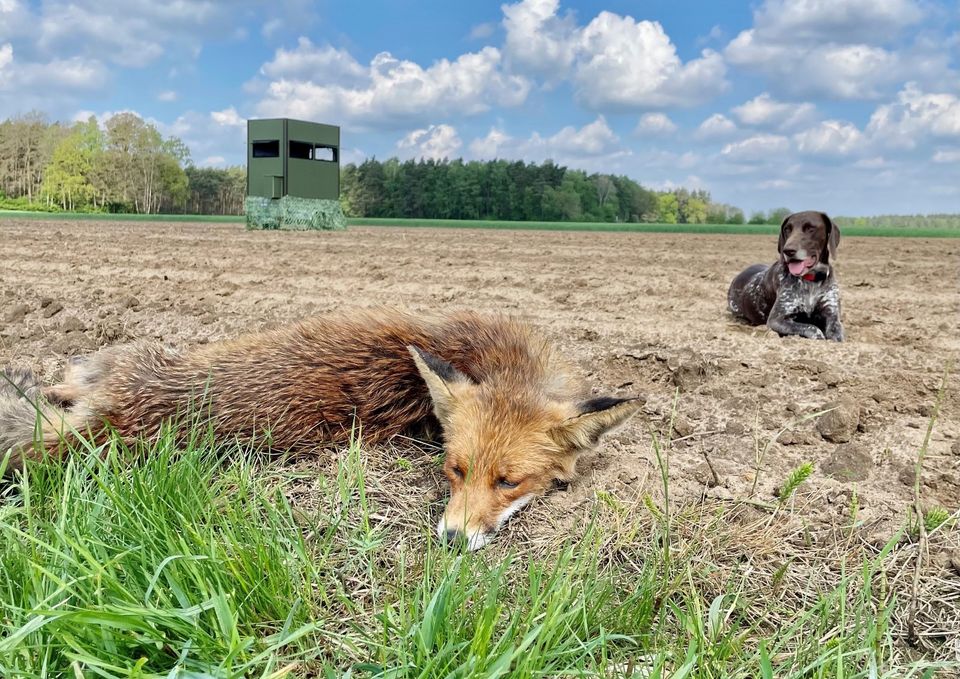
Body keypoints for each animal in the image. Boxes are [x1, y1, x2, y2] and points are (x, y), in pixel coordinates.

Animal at [3, 310, 644, 548]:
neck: (501, 356)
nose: (450, 540)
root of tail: (119, 419)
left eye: (509, 482)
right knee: (53, 392)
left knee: (55, 394)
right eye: (454, 470)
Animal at [728, 210, 840, 340]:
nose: (788, 250)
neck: (811, 280)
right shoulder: (776, 320)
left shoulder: (832, 314)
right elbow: (813, 329)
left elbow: (836, 334)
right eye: (787, 229)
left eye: (810, 228)